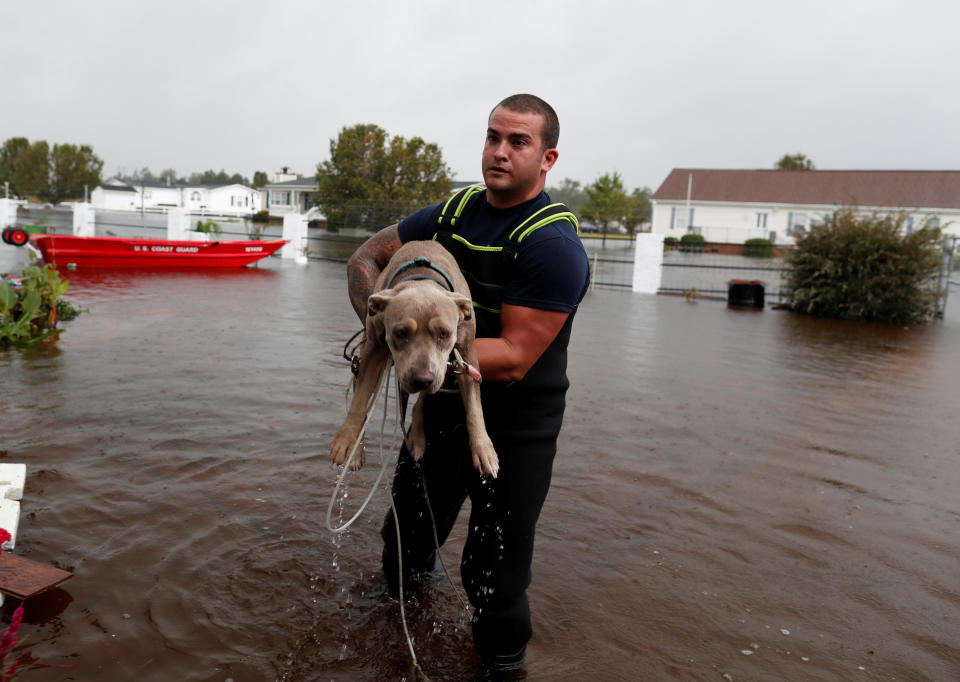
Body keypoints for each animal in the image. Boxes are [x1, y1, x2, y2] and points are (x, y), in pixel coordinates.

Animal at [330, 242, 498, 476]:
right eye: (401, 333)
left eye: (444, 334)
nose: (422, 379)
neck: (422, 280)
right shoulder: (373, 352)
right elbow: (359, 402)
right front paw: (345, 440)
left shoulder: (466, 357)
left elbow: (474, 407)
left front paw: (484, 448)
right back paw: (356, 451)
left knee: (421, 402)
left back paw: (417, 438)